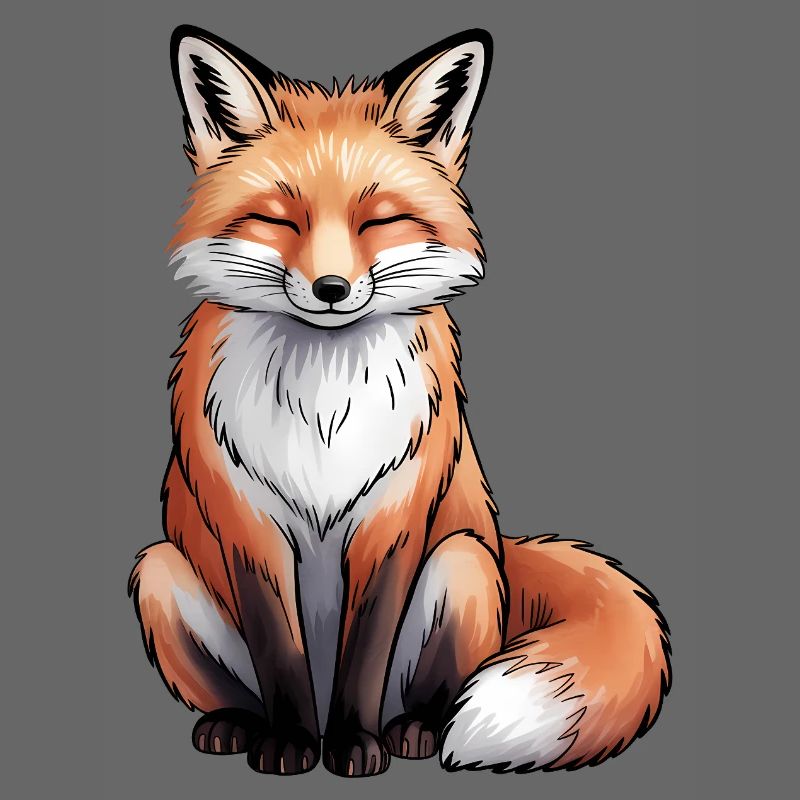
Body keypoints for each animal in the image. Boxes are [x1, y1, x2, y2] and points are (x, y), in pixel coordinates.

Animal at [129, 25, 671, 778]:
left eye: (378, 221)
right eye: (277, 219)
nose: (330, 288)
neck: (323, 410)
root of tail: (504, 547)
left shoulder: (393, 518)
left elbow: (366, 651)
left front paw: (353, 746)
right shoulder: (248, 525)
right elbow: (279, 650)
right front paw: (291, 745)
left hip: (464, 563)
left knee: (430, 696)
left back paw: (410, 733)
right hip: (157, 569)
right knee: (238, 686)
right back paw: (238, 725)